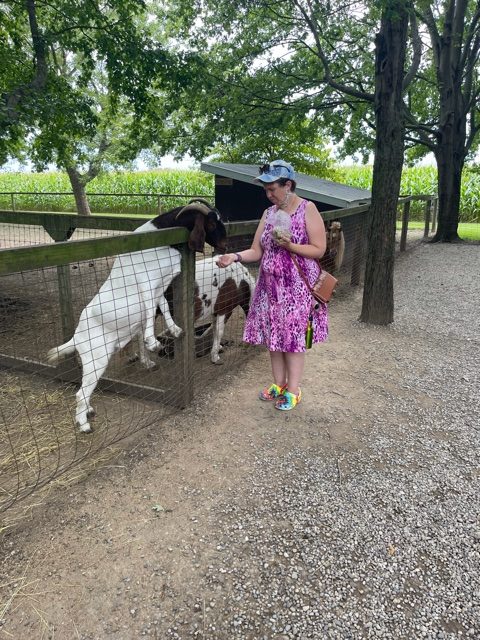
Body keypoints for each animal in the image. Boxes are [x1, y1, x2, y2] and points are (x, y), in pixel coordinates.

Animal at [46, 199, 226, 436]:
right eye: (212, 224)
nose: (224, 245)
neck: (160, 240)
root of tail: (77, 338)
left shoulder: (160, 287)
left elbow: (163, 306)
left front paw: (175, 330)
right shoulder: (147, 284)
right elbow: (149, 309)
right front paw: (152, 342)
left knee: (85, 390)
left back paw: (89, 412)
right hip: (96, 359)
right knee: (80, 393)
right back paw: (84, 425)